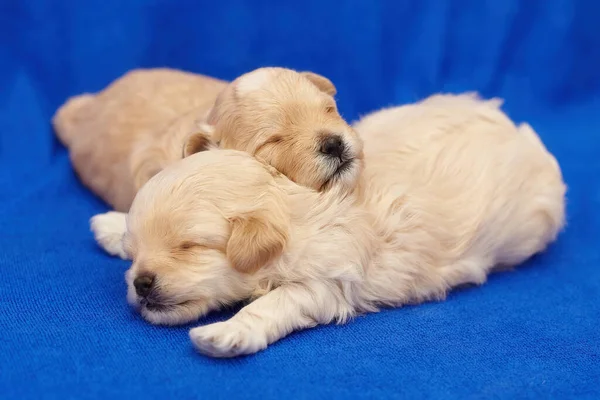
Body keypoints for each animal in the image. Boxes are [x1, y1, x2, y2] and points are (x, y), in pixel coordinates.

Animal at [89, 93, 564, 356]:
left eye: (188, 247)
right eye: (136, 254)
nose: (141, 283)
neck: (290, 208)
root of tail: (519, 130)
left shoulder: (324, 284)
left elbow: (270, 305)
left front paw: (227, 334)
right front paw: (112, 225)